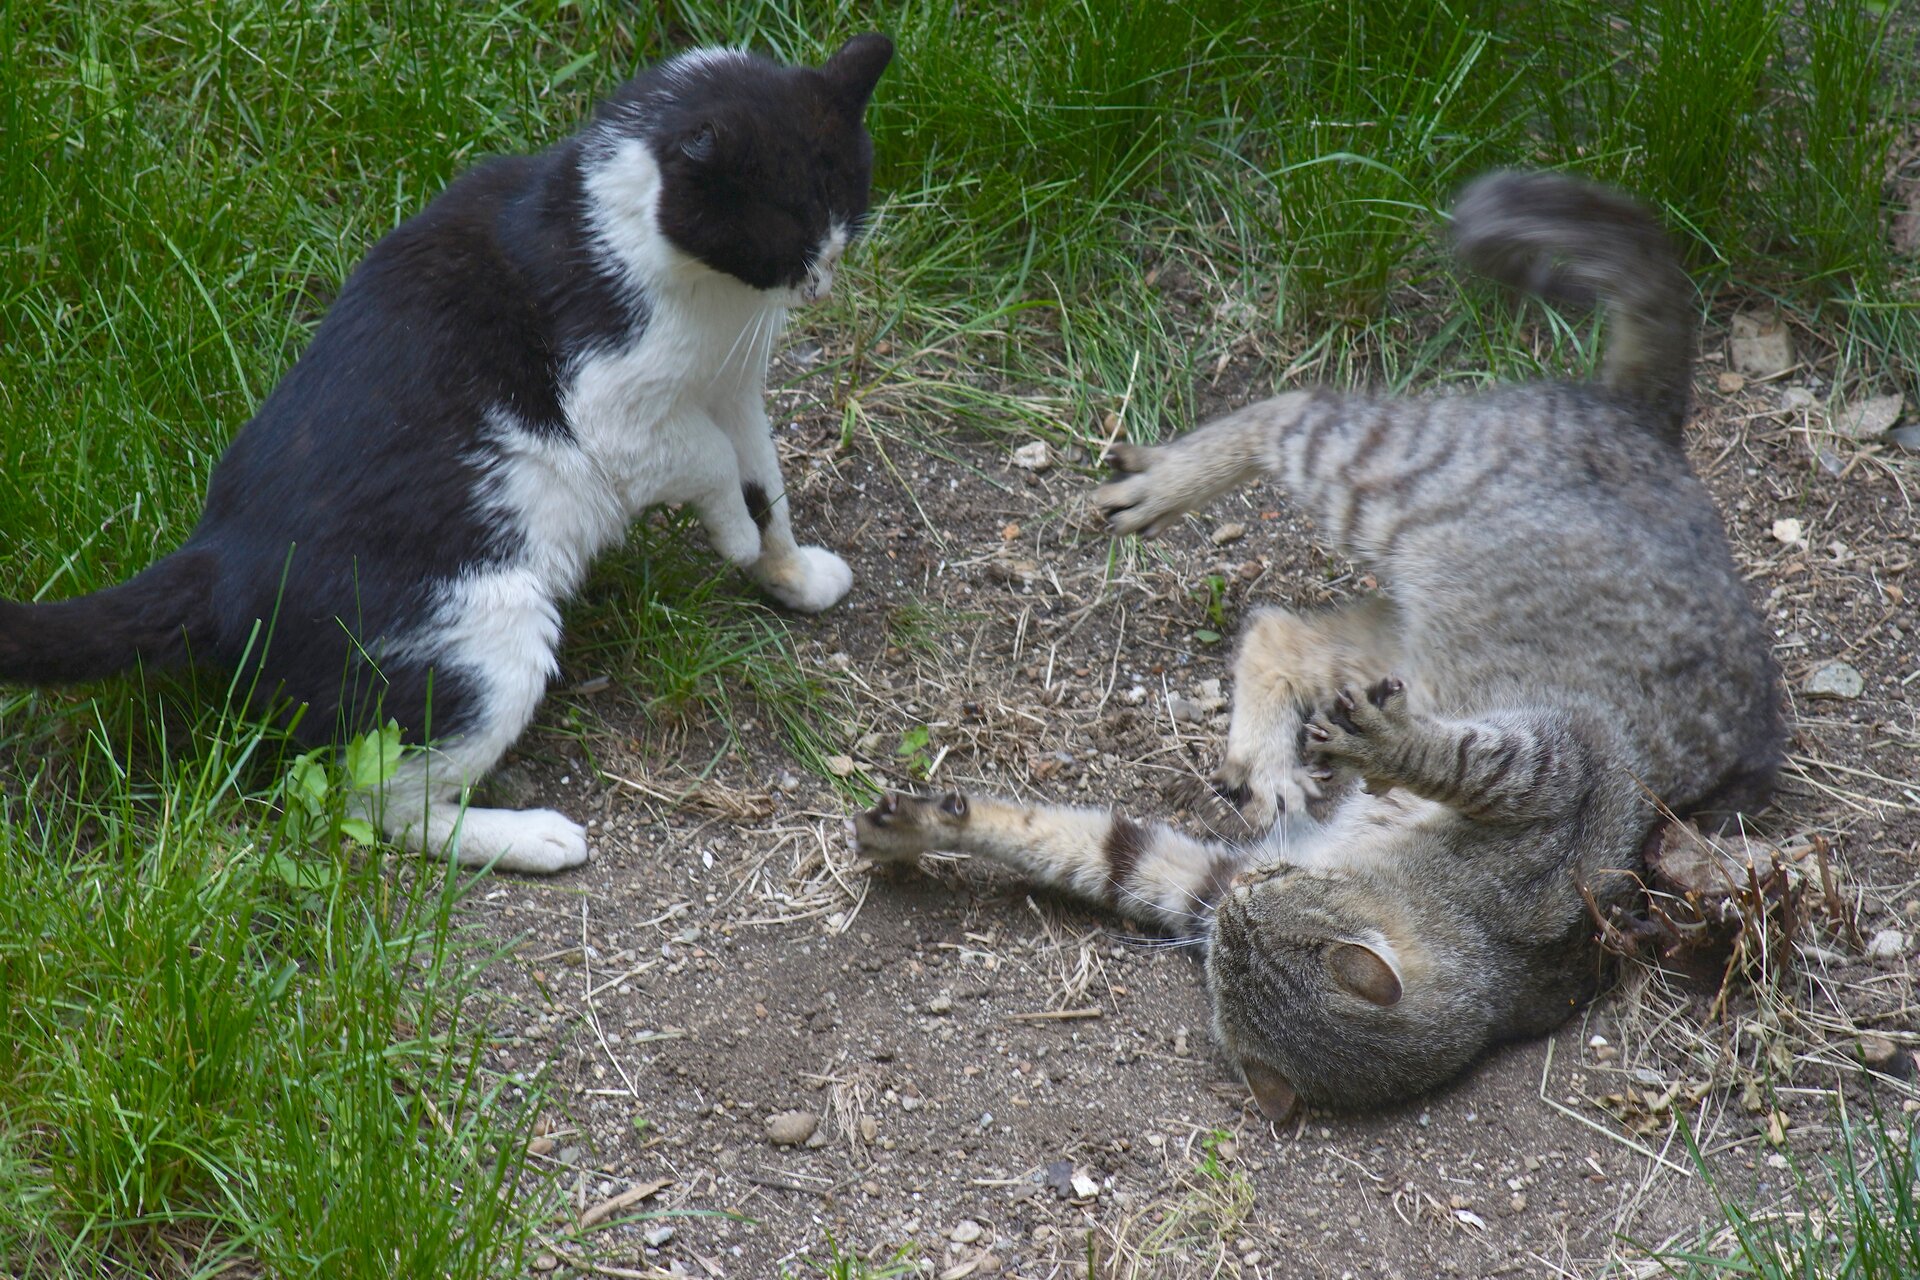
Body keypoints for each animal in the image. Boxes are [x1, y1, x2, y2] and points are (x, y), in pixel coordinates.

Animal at [0, 35, 893, 874]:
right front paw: (738, 536)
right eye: (787, 226)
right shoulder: (617, 410)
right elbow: (711, 462)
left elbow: (764, 478)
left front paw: (789, 571)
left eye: (846, 208)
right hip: (489, 636)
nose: (822, 279)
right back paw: (531, 836)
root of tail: (219, 558)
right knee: (372, 803)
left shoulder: (735, 383)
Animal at [855, 171, 1784, 1117]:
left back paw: (1265, 738)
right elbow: (1075, 844)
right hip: (1391, 520)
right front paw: (921, 829)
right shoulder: (1554, 760)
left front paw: (930, 824)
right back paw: (1169, 498)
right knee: (1292, 419)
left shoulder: (1551, 772)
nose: (1248, 887)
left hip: (1396, 605)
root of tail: (1652, 426)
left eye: (1263, 904)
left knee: (1282, 602)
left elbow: (1102, 847)